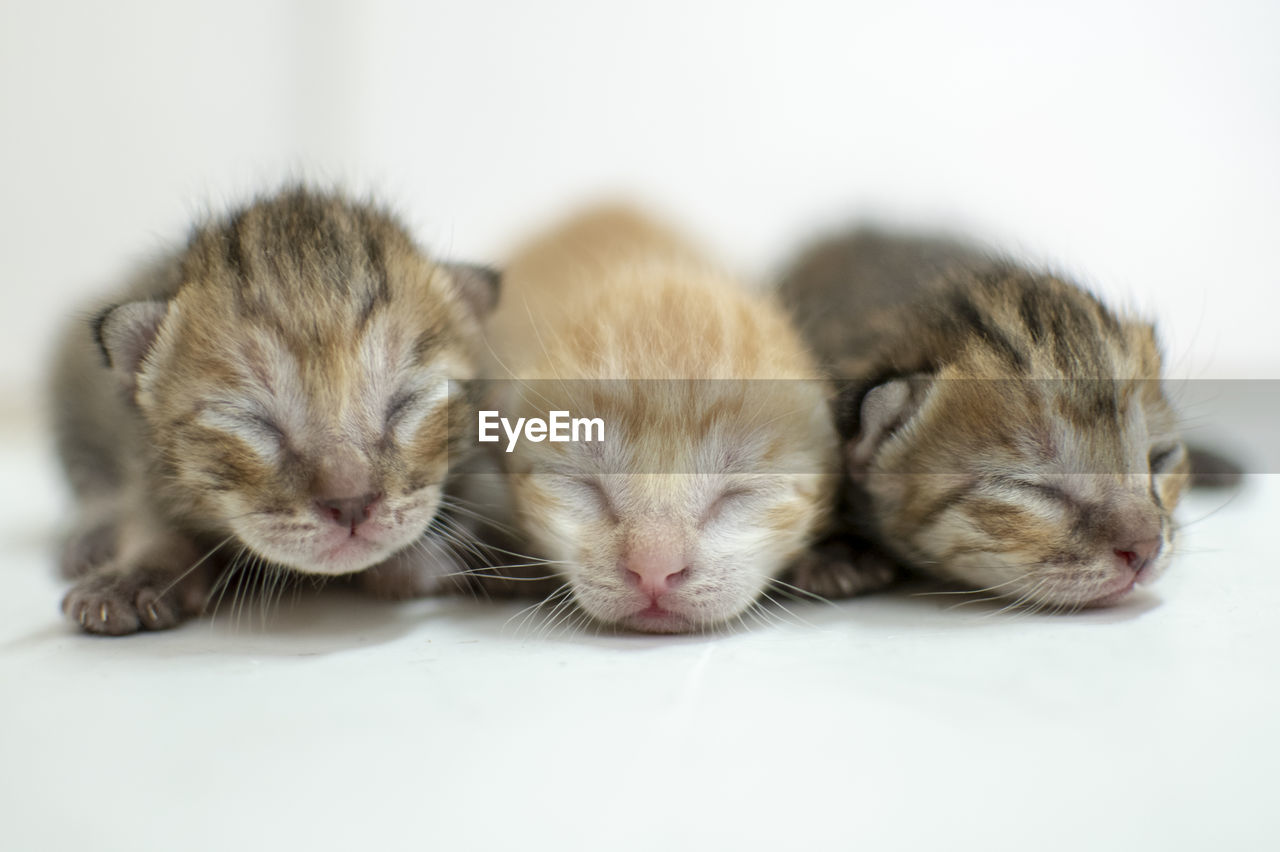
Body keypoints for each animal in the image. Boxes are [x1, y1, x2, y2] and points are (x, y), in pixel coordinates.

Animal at [51, 189, 499, 634]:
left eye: (405, 403)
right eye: (255, 422)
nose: (351, 503)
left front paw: (425, 557)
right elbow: (147, 513)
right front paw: (135, 574)